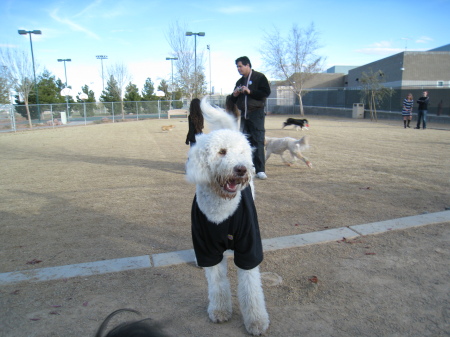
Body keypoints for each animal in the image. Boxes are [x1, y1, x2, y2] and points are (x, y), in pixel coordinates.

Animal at [185, 96, 268, 334]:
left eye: (241, 153)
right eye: (221, 151)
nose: (241, 169)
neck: (221, 210)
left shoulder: (249, 246)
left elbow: (251, 288)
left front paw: (256, 322)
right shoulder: (207, 247)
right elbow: (217, 284)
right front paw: (220, 311)